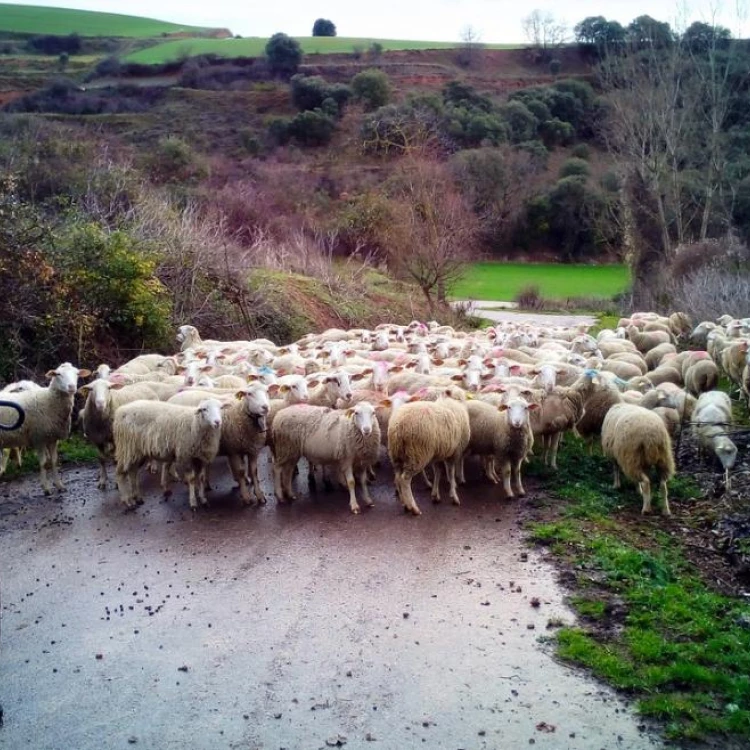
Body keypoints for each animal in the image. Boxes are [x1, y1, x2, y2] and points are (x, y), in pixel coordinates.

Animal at [0, 362, 91, 494]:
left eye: (77, 373)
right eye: (58, 374)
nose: (71, 387)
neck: (49, 400)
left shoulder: (52, 438)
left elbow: (54, 461)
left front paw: (59, 485)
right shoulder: (39, 438)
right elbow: (43, 463)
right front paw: (46, 488)